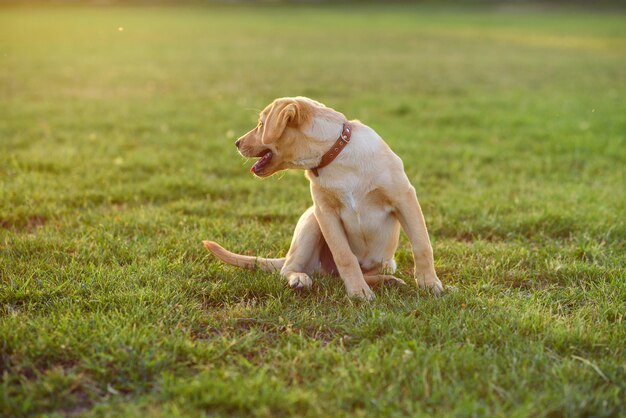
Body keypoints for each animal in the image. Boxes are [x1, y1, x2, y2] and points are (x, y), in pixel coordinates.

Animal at [202, 97, 442, 300]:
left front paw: (430, 284)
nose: (236, 142)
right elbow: (345, 256)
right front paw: (358, 292)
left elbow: (422, 245)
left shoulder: (404, 198)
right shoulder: (325, 212)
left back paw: (388, 281)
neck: (335, 157)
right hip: (311, 220)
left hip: (385, 262)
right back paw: (300, 279)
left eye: (261, 124)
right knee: (288, 269)